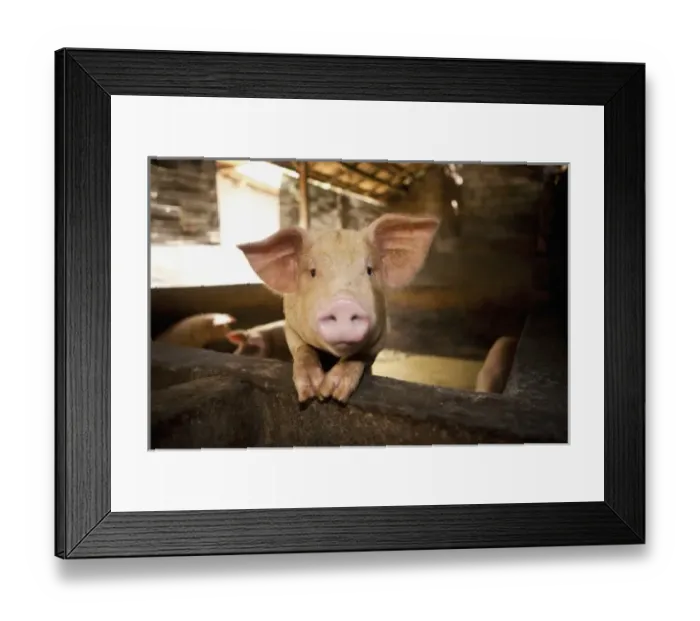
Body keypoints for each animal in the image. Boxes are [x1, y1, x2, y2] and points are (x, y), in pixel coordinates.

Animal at [237, 213, 440, 403]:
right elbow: (302, 349)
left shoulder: (383, 331)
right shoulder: (290, 325)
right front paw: (311, 393)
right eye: (313, 272)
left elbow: (362, 354)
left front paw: (333, 394)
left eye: (369, 270)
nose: (344, 304)